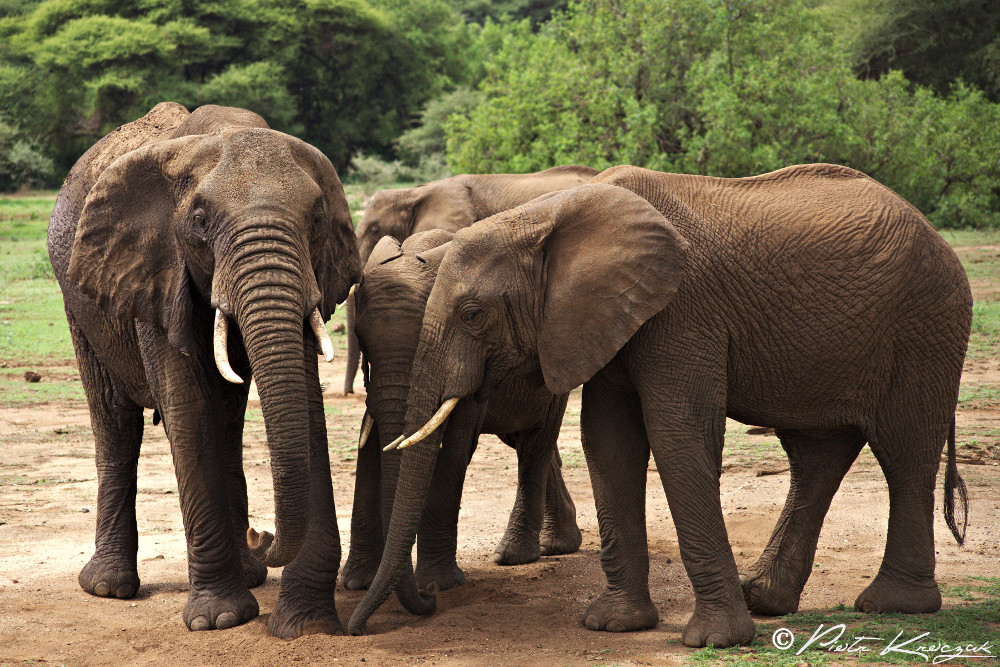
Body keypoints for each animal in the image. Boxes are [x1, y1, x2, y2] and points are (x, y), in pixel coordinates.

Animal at [46, 103, 368, 636]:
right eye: (199, 219)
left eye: (318, 218)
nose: (263, 532)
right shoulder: (157, 272)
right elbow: (188, 409)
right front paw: (218, 620)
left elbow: (303, 403)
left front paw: (305, 626)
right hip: (80, 302)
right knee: (116, 422)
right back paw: (109, 586)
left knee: (228, 421)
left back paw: (251, 572)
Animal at [340, 231, 584, 596]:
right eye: (361, 339)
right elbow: (369, 443)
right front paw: (355, 582)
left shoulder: (468, 360)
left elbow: (454, 448)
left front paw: (436, 585)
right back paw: (556, 545)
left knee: (535, 444)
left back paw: (515, 555)